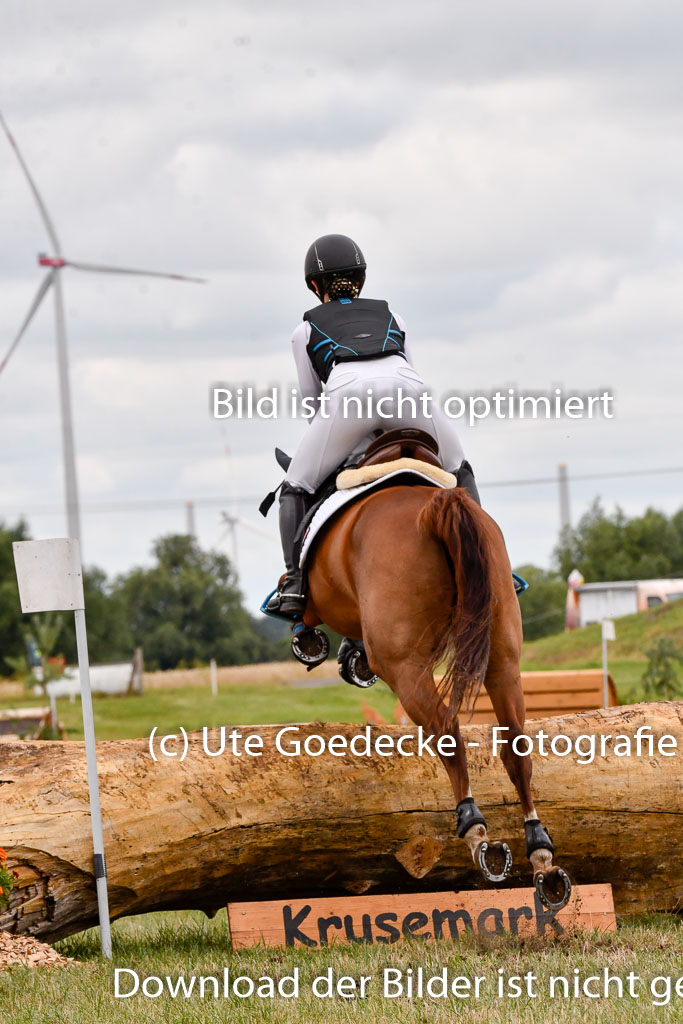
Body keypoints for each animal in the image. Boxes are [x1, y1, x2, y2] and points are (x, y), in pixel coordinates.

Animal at [303, 483, 573, 909]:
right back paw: (541, 857)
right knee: (516, 746)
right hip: (503, 655)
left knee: (447, 729)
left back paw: (476, 831)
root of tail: (439, 505)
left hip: (404, 665)